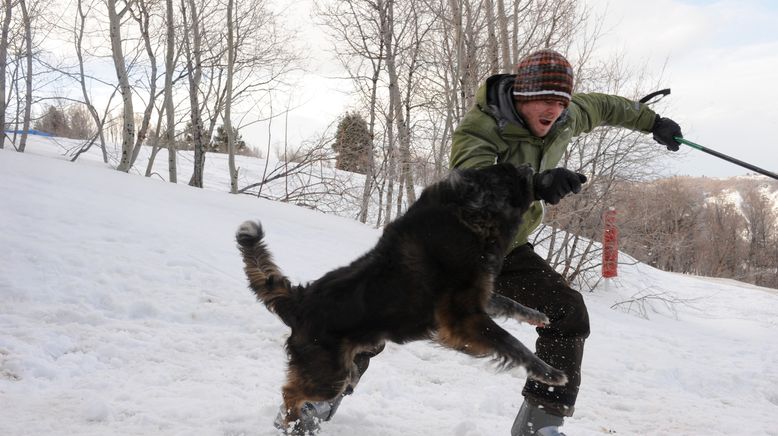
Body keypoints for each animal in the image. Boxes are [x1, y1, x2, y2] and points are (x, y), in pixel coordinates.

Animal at [233, 163, 568, 432]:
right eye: (514, 174)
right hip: (329, 377)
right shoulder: (461, 317)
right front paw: (550, 374)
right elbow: (513, 344)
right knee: (290, 393)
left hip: (344, 369)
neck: (470, 209)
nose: (532, 167)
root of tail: (300, 302)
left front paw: (538, 316)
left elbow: (511, 304)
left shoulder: (478, 299)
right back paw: (291, 422)